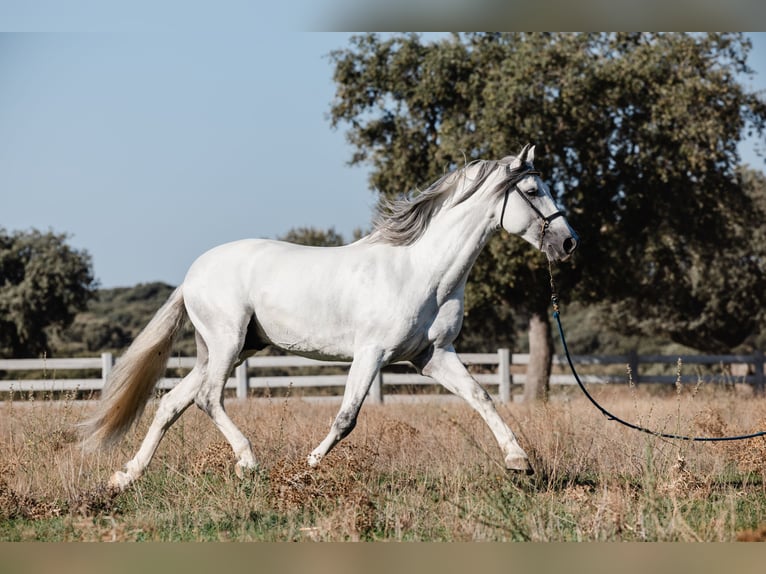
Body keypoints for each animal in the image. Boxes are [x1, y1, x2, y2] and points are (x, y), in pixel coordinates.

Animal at [82, 144, 576, 490]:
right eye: (534, 191)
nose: (569, 242)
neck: (422, 271)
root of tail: (192, 275)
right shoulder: (372, 353)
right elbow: (346, 418)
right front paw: (309, 466)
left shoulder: (433, 356)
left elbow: (482, 398)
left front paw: (519, 462)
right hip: (227, 343)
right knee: (207, 398)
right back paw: (247, 462)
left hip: (229, 349)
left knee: (171, 403)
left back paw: (126, 476)